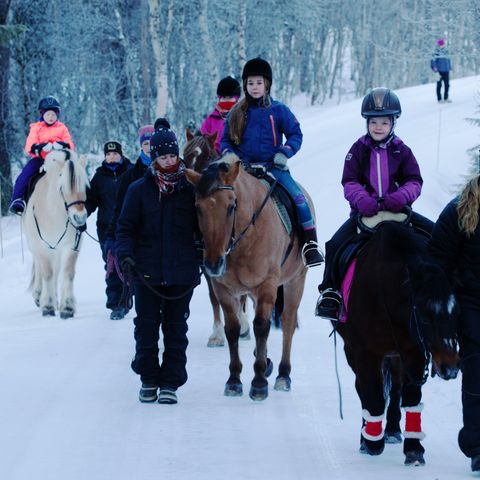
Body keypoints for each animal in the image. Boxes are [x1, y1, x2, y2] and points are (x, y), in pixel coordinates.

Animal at [22, 146, 88, 318]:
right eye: (62, 187)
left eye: (85, 187)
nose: (80, 218)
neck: (54, 212)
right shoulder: (42, 247)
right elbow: (47, 274)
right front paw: (47, 306)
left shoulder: (71, 245)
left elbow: (68, 272)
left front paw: (67, 308)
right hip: (35, 245)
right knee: (41, 268)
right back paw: (39, 296)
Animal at [186, 154, 310, 402]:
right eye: (198, 208)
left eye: (231, 206)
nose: (213, 263)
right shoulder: (223, 288)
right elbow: (232, 328)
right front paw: (234, 380)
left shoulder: (267, 285)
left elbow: (261, 326)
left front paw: (259, 382)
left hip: (295, 281)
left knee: (288, 322)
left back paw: (283, 375)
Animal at [336, 216, 460, 466]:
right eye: (424, 315)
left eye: (455, 311)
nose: (450, 368)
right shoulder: (365, 353)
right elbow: (372, 396)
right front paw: (372, 443)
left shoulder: (414, 350)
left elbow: (411, 397)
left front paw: (414, 449)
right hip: (353, 352)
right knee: (364, 391)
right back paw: (367, 435)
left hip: (396, 356)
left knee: (395, 389)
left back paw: (392, 430)